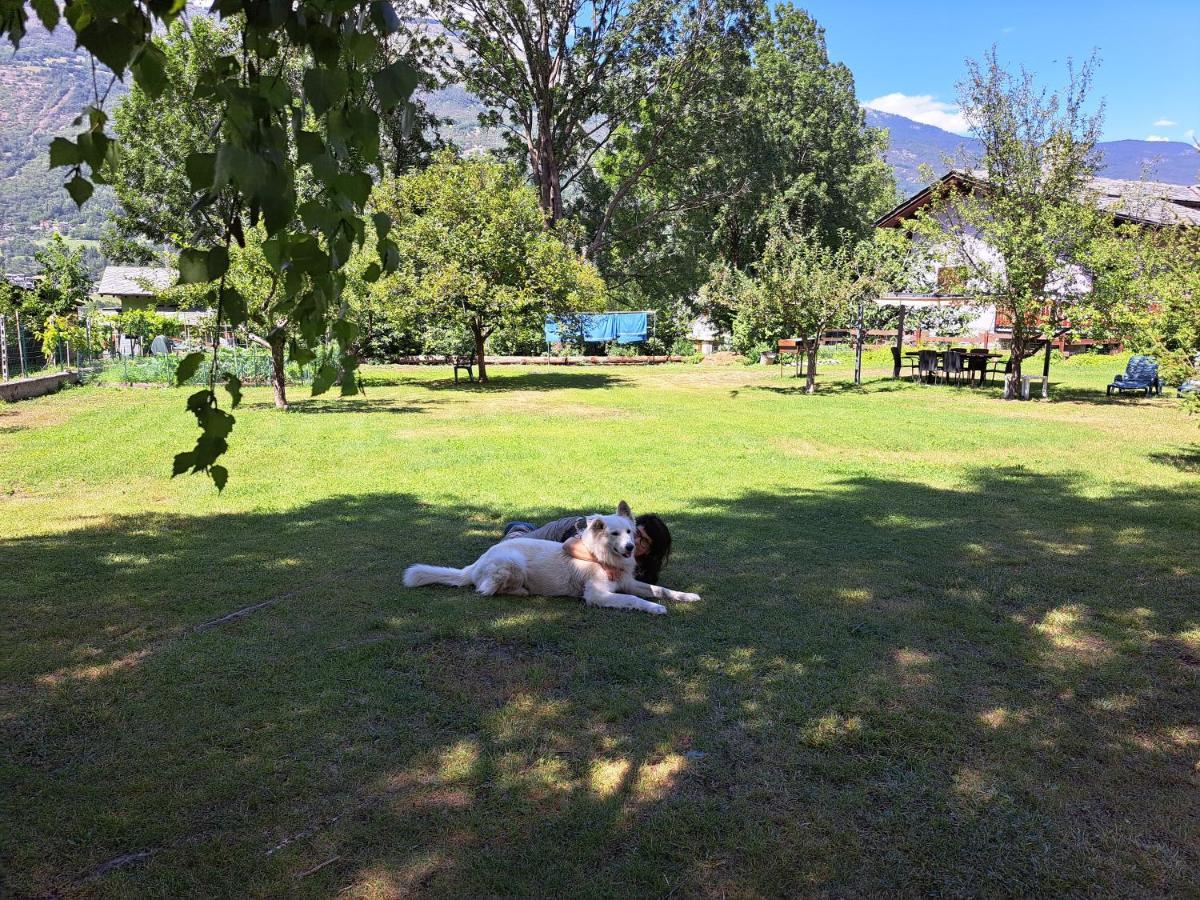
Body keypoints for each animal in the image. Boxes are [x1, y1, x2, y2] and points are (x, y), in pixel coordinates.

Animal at [405, 504, 700, 619]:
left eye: (631, 532)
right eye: (615, 534)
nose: (629, 547)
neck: (600, 557)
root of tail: (474, 565)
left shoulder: (628, 582)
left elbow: (660, 589)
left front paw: (687, 596)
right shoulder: (598, 595)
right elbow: (634, 599)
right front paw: (655, 608)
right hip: (512, 563)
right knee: (486, 590)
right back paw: (522, 592)